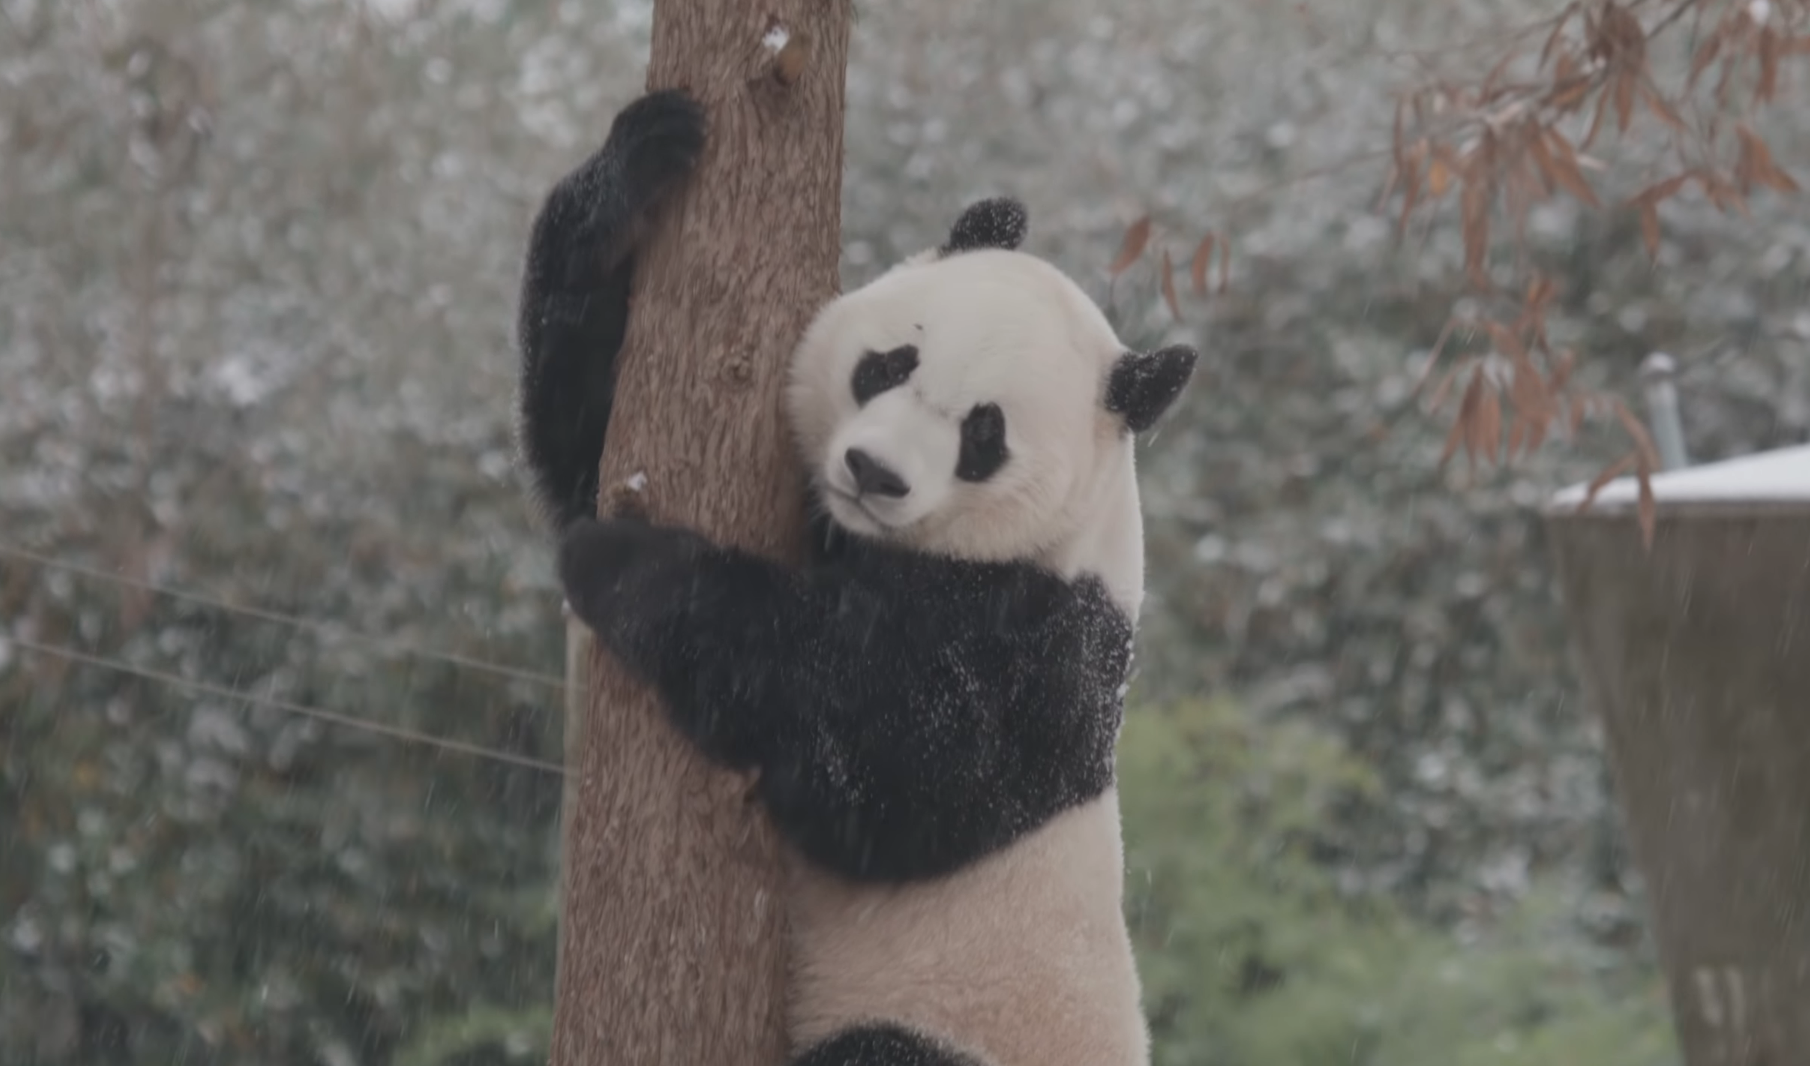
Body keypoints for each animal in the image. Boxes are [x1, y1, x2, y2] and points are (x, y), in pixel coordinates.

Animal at [521, 89, 1201, 1064]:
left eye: (983, 435)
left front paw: (627, 565)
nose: (873, 472)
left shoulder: (1048, 647)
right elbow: (585, 437)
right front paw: (639, 164)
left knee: (879, 1049)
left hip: (959, 1026)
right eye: (888, 364)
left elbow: (887, 761)